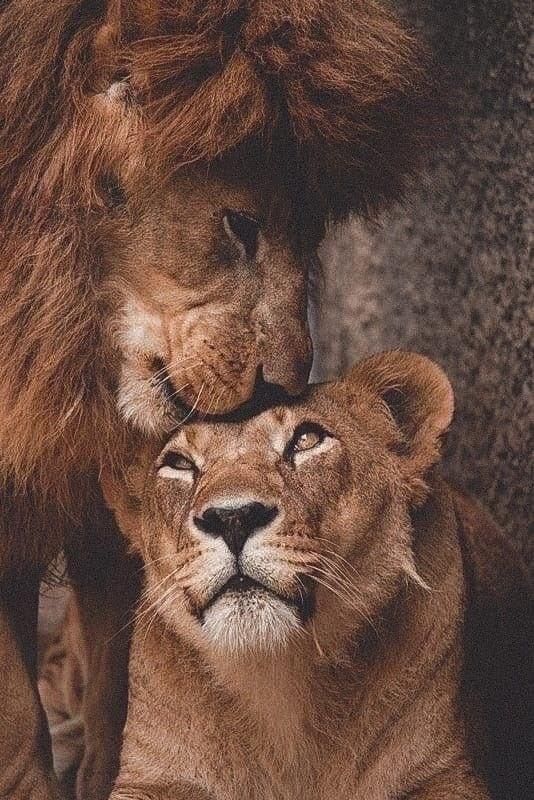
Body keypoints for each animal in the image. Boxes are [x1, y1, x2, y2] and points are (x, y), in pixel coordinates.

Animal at [69, 352, 512, 800]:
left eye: (306, 440)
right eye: (178, 464)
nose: (232, 517)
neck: (280, 679)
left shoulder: (445, 773)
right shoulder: (153, 777)